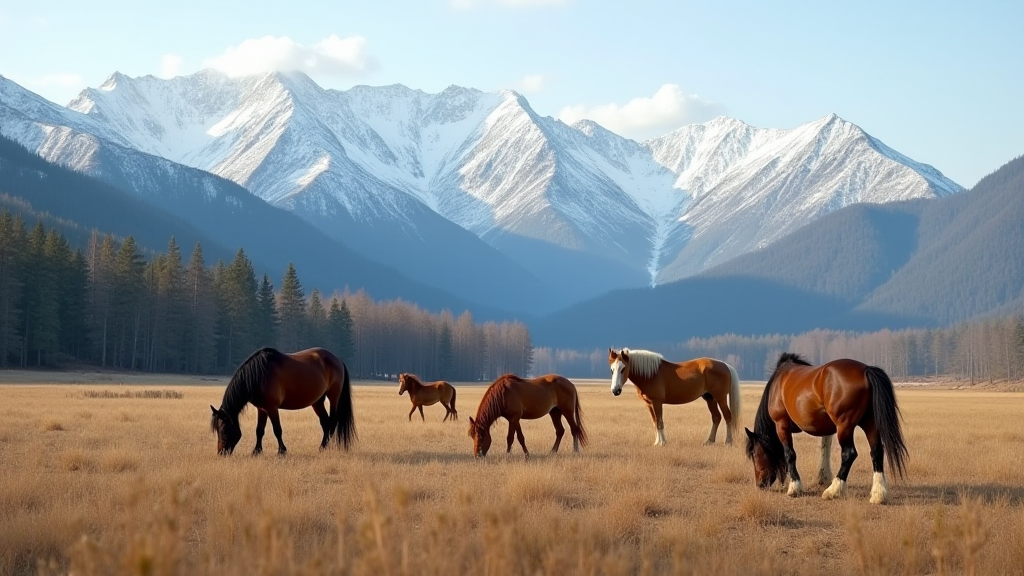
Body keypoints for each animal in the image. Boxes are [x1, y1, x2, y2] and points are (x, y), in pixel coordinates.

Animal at [207, 344, 356, 453]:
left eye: (223, 429)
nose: (221, 452)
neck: (259, 375)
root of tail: (337, 359)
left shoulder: (272, 408)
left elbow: (277, 429)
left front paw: (282, 451)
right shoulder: (262, 409)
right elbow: (259, 430)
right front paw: (256, 451)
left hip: (333, 397)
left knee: (333, 422)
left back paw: (327, 447)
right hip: (317, 401)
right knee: (325, 423)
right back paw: (322, 447)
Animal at [602, 344, 741, 444]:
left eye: (623, 369)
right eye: (612, 369)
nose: (615, 390)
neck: (651, 374)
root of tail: (725, 365)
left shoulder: (657, 402)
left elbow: (659, 421)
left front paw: (662, 443)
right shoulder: (649, 404)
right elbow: (654, 422)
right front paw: (656, 442)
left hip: (720, 398)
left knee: (728, 416)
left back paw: (728, 442)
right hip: (710, 398)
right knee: (716, 417)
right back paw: (709, 441)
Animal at [745, 350, 905, 502]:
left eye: (754, 454)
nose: (760, 484)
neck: (778, 384)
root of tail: (866, 369)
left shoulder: (781, 424)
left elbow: (789, 454)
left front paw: (794, 487)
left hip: (844, 426)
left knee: (849, 454)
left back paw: (833, 490)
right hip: (870, 423)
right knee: (876, 452)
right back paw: (878, 495)